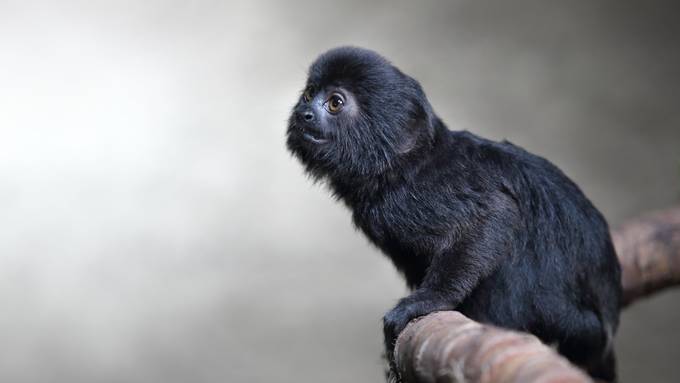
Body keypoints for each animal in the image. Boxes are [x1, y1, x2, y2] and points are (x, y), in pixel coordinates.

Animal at [286, 47, 620, 380]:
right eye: (309, 94)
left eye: (335, 103)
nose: (305, 113)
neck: (404, 167)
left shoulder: (421, 197)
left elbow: (495, 213)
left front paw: (428, 301)